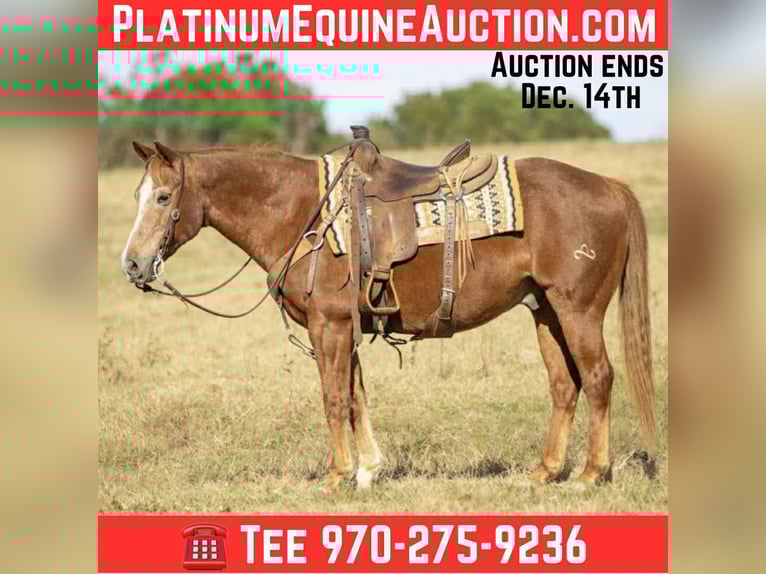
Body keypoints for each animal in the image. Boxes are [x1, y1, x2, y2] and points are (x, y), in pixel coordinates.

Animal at [119, 140, 657, 491]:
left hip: (578, 309)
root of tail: (609, 187)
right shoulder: (345, 328)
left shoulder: (330, 325)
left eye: (163, 197)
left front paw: (336, 476)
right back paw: (545, 471)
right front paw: (367, 469)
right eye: (138, 196)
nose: (133, 264)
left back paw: (590, 475)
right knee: (565, 385)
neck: (301, 212)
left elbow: (334, 397)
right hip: (545, 310)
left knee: (598, 377)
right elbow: (357, 396)